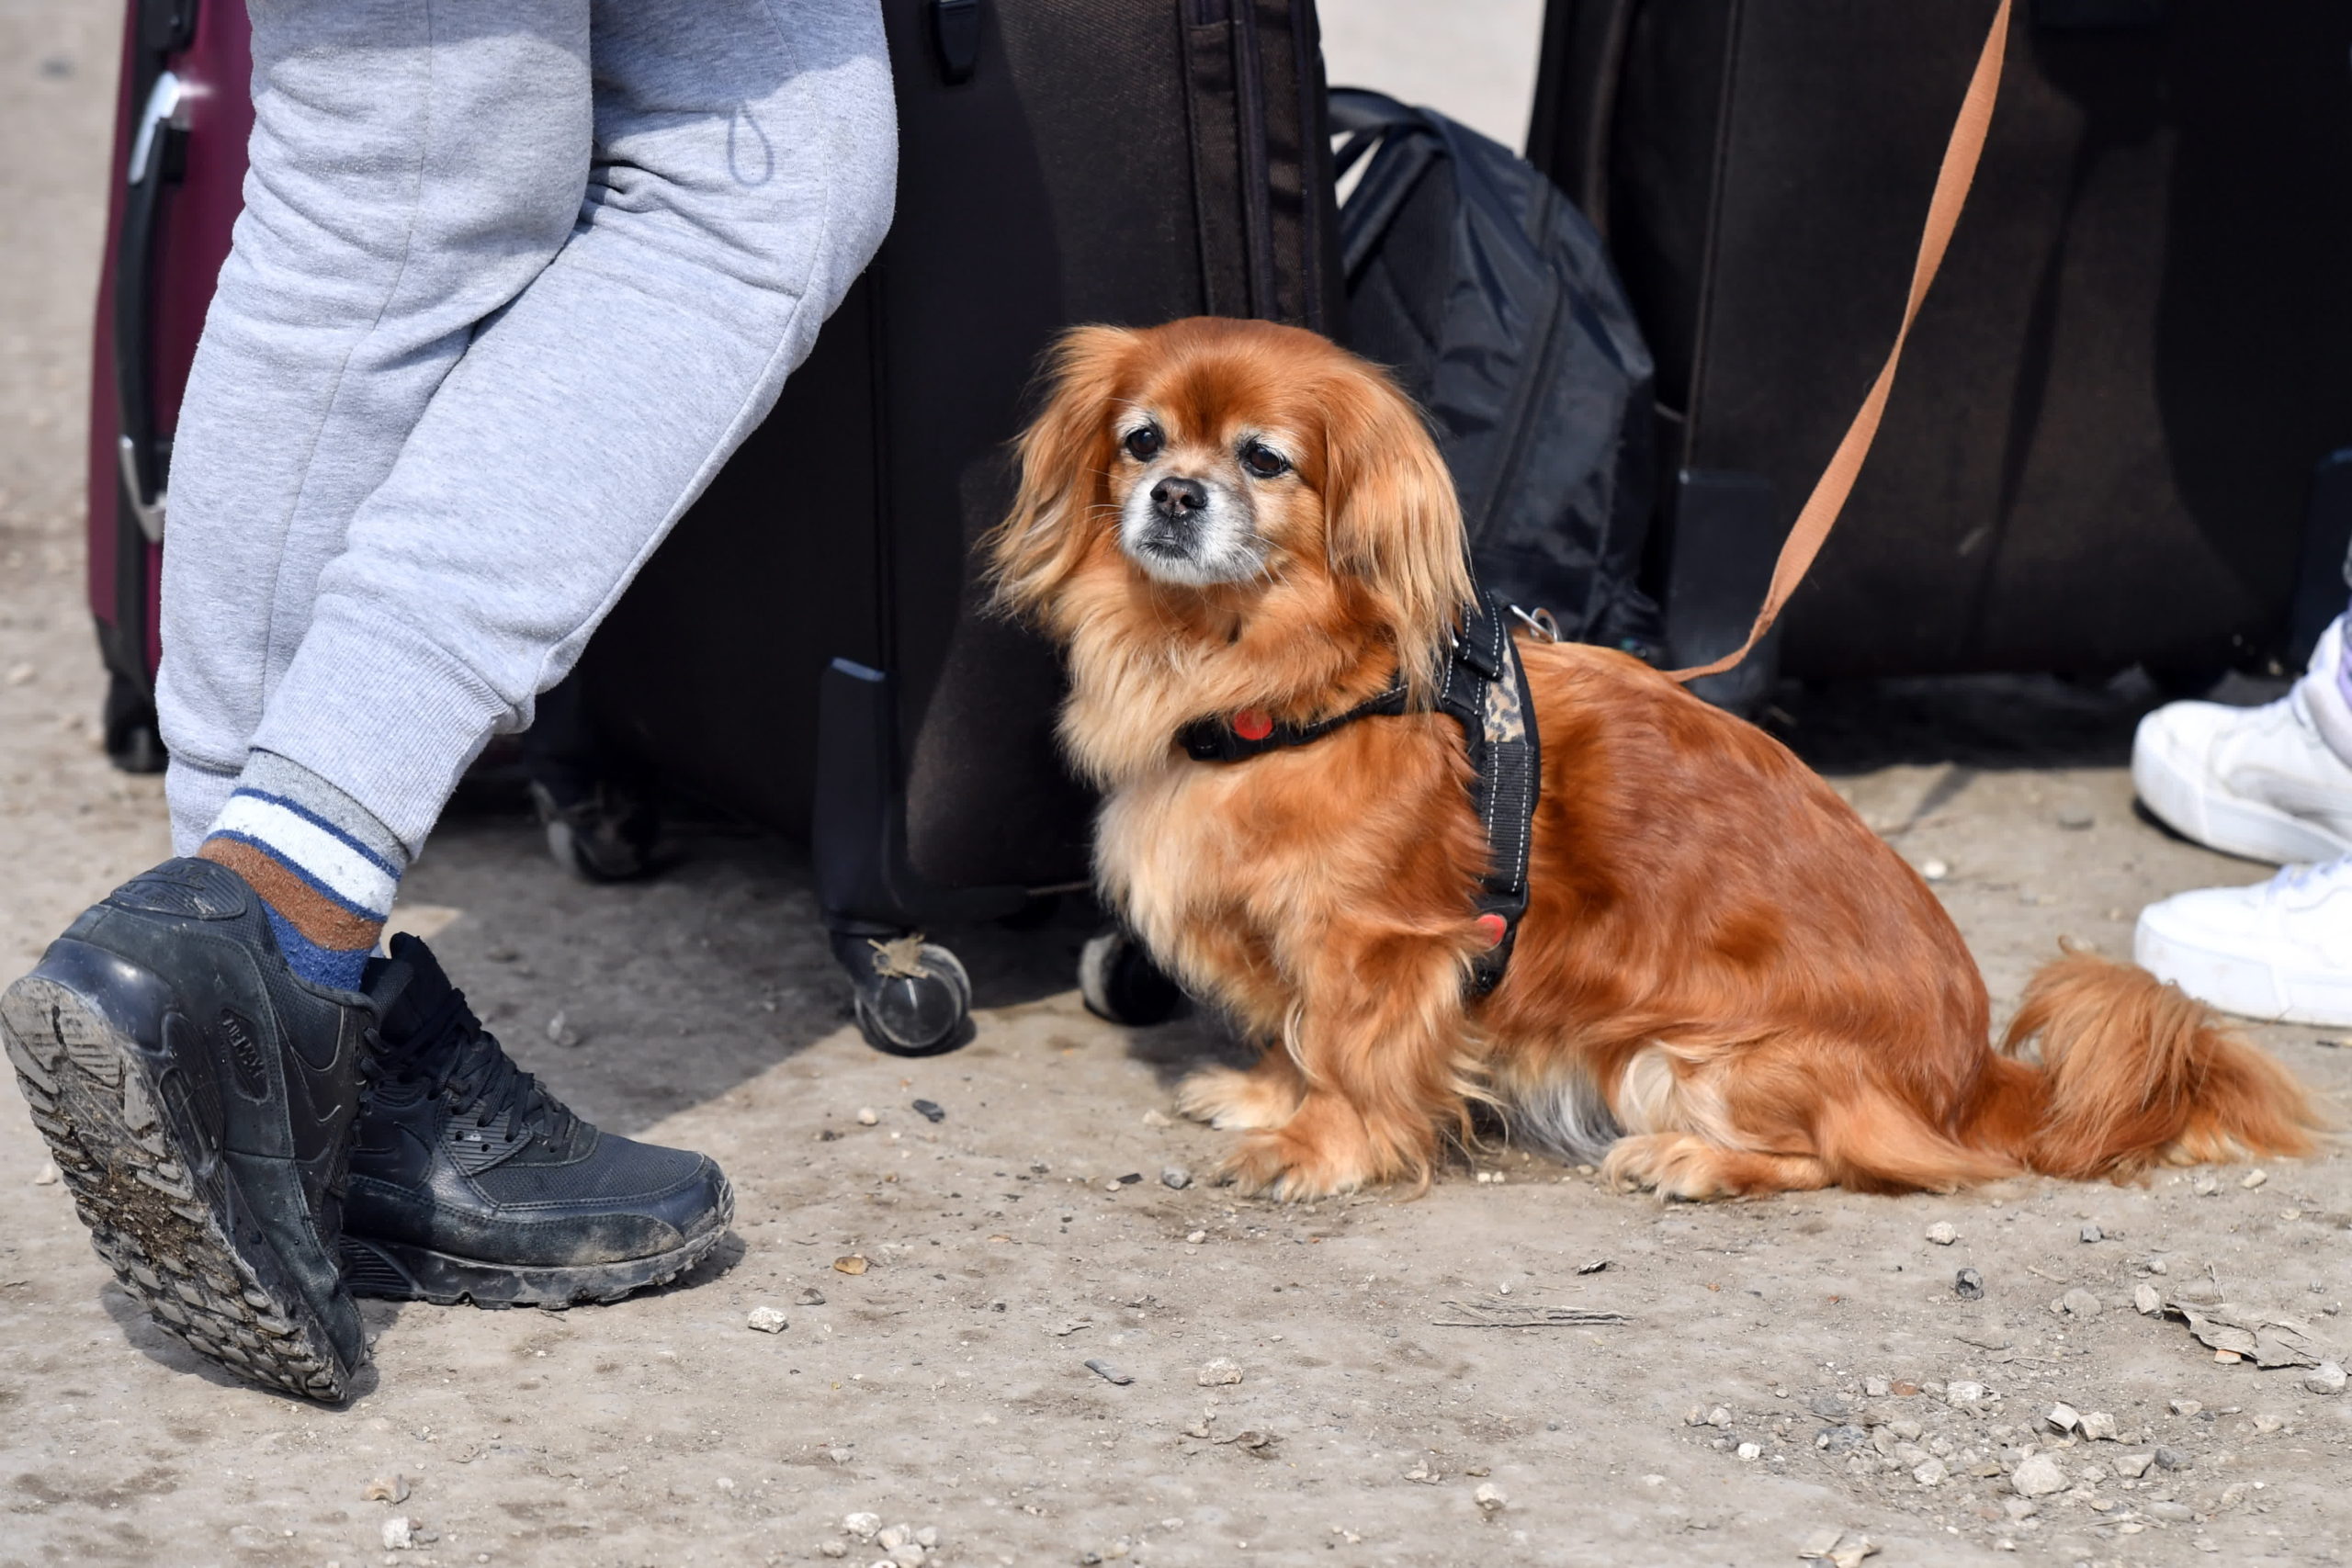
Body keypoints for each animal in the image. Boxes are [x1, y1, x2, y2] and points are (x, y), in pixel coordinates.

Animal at [978, 320, 2314, 1203]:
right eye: (1141, 439)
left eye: (1263, 459)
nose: (1176, 493)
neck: (1279, 679)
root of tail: (1970, 1074)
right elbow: (1293, 1034)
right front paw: (1264, 1088)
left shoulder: (1377, 946)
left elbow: (1351, 1056)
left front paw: (1320, 1147)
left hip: (1677, 1053)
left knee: (1863, 1159)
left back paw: (1694, 1161)